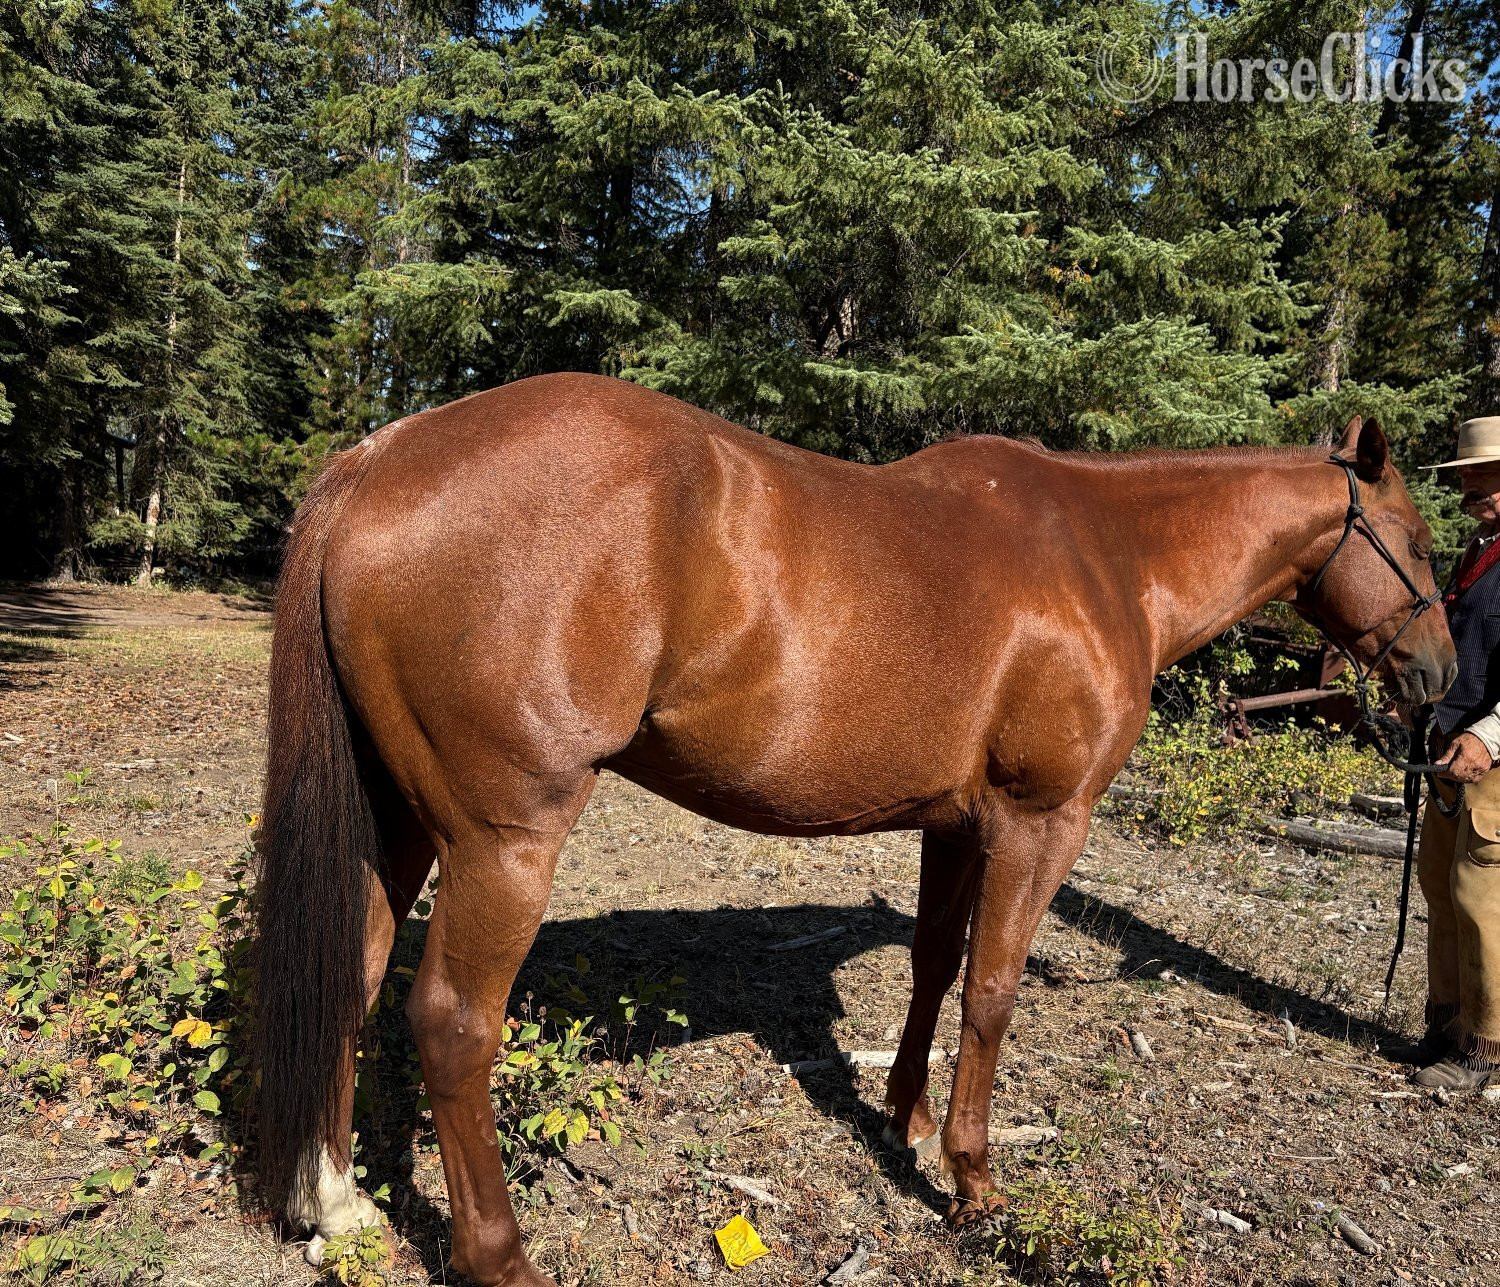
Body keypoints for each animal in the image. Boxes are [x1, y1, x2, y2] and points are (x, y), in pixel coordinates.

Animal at [251, 374, 1455, 1285]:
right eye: (1419, 539)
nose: (1441, 678)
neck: (1104, 556)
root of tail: (379, 461)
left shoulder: (956, 824)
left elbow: (932, 968)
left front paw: (905, 1121)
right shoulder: (1040, 823)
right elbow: (992, 992)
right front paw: (973, 1183)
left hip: (398, 823)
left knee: (351, 976)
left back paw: (337, 1203)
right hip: (504, 840)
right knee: (454, 1023)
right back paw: (501, 1257)